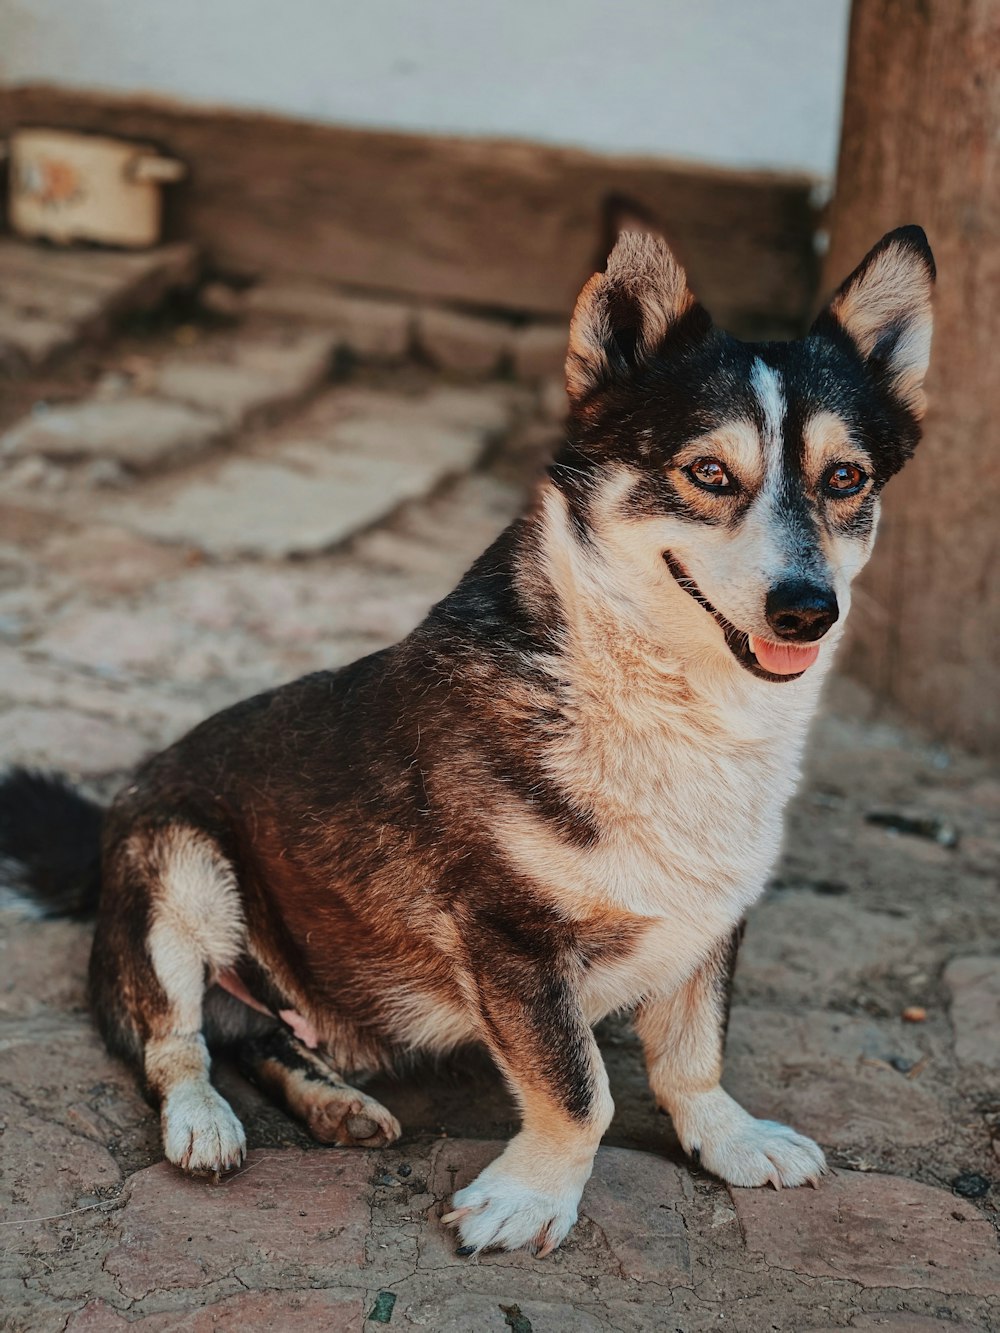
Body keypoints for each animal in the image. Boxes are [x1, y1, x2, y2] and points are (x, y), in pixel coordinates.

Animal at [0, 223, 938, 1253]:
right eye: (708, 473)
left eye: (844, 479)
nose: (808, 609)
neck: (664, 698)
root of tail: (105, 826)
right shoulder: (510, 935)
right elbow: (581, 1087)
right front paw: (532, 1198)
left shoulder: (713, 915)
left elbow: (693, 1054)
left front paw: (729, 1140)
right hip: (180, 865)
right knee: (176, 1042)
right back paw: (204, 1122)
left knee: (255, 1035)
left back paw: (334, 1104)